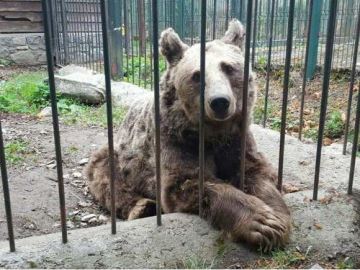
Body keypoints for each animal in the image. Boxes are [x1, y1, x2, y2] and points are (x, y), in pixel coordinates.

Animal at [86, 20, 292, 252]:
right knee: (106, 176)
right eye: (197, 75)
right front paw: (260, 222)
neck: (213, 134)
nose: (219, 101)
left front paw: (277, 218)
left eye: (229, 68)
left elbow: (256, 172)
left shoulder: (236, 140)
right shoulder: (177, 140)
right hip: (119, 155)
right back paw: (141, 207)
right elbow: (189, 182)